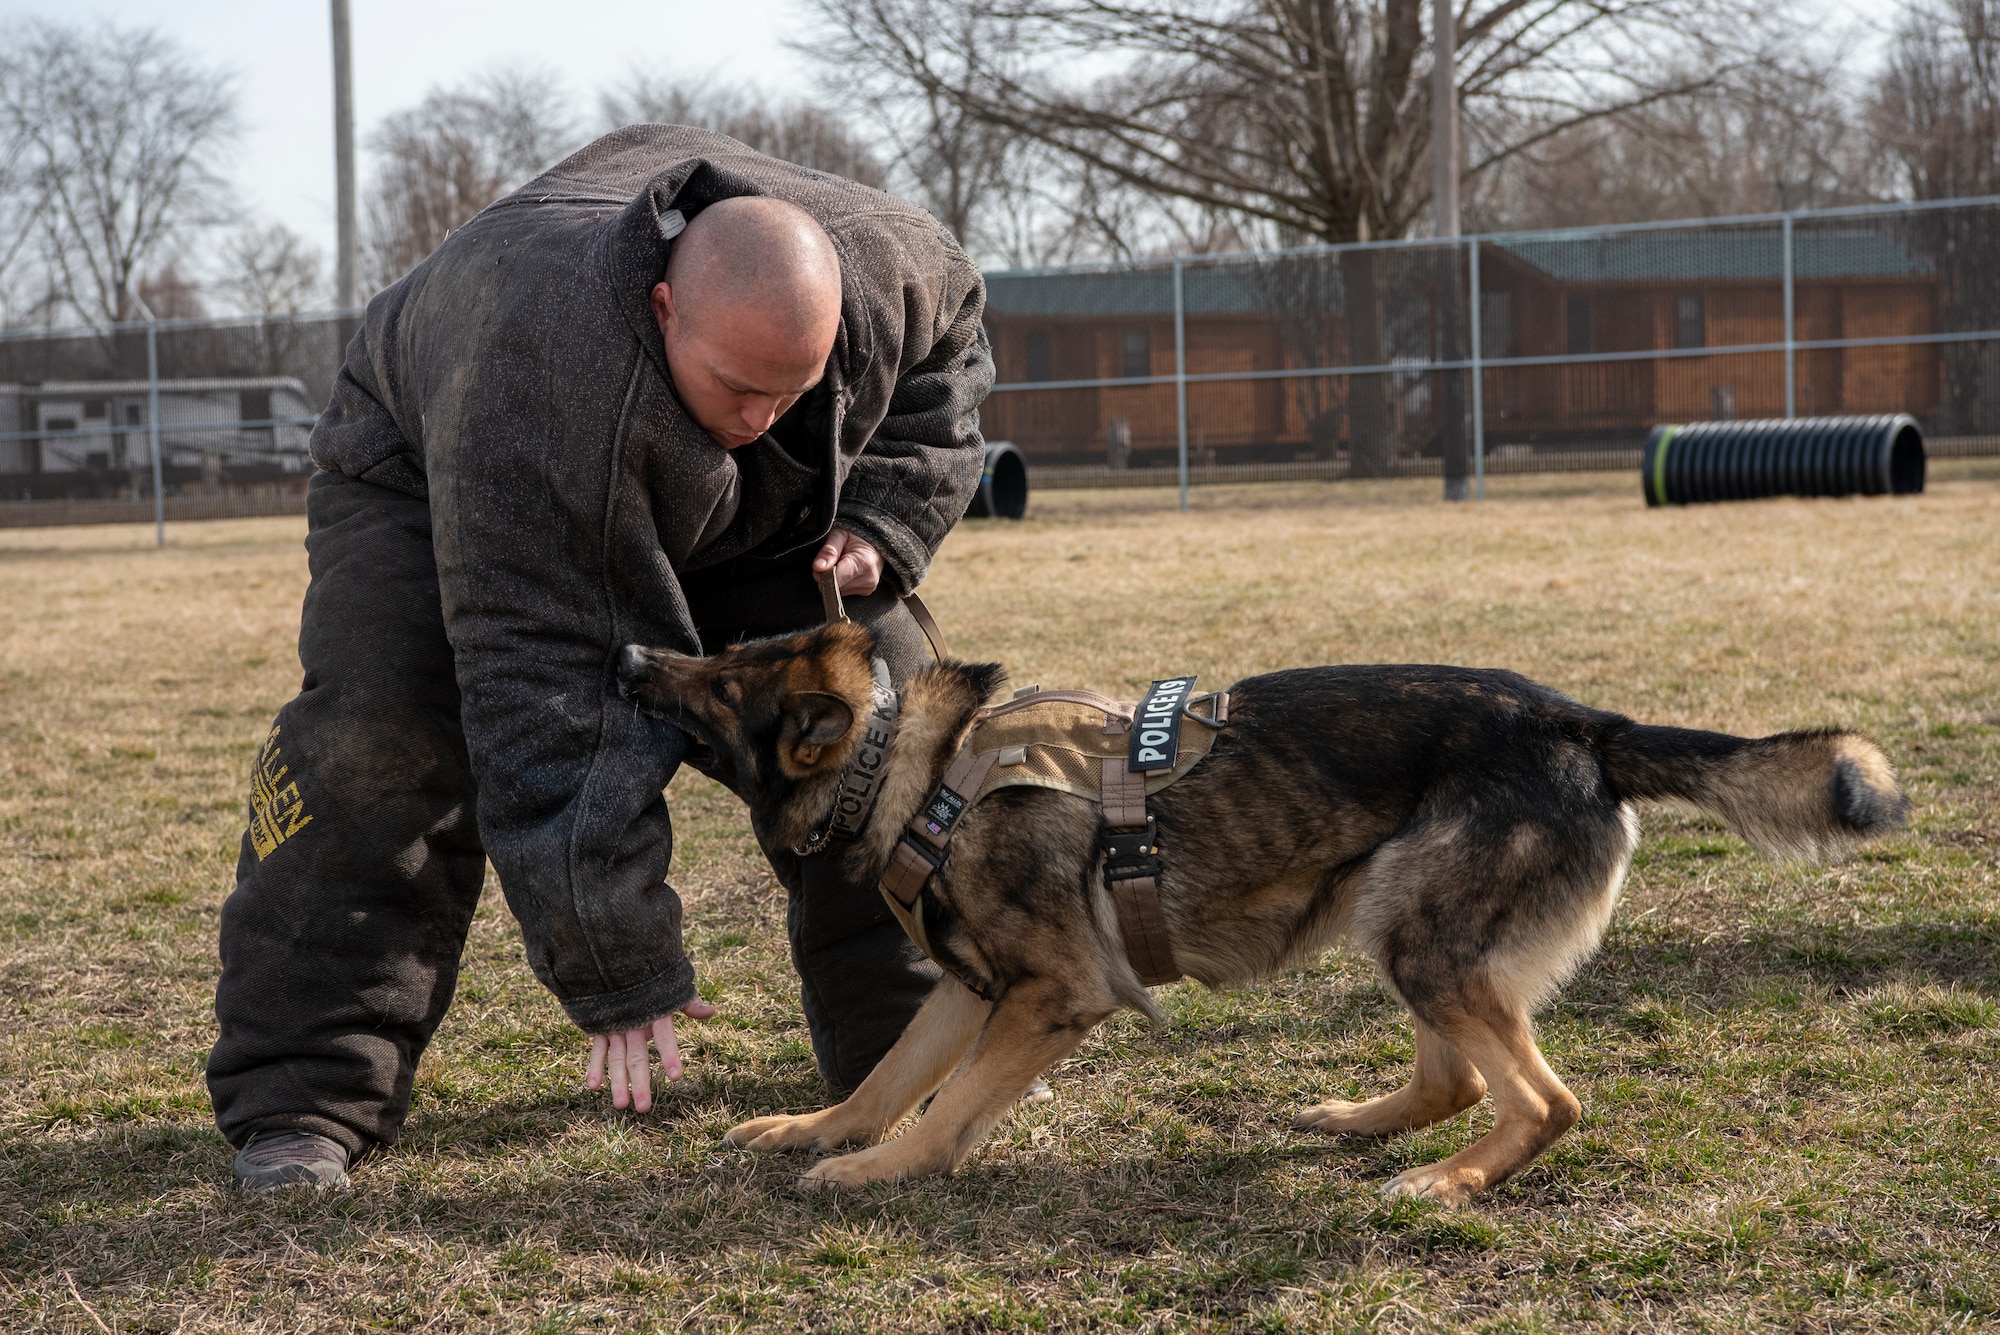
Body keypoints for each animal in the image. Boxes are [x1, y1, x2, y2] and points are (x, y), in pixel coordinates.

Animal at [616, 623, 1896, 1199]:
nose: (630, 655)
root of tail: (1585, 725)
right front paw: (816, 1133)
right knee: (1456, 1079)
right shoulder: (969, 994)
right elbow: (884, 1082)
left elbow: (946, 1112)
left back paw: (1448, 1183)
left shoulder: (1049, 1001)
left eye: (716, 683)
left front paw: (878, 1175)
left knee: (1545, 1100)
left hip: (1421, 937)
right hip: (1401, 919)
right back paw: (1367, 1123)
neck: (914, 767)